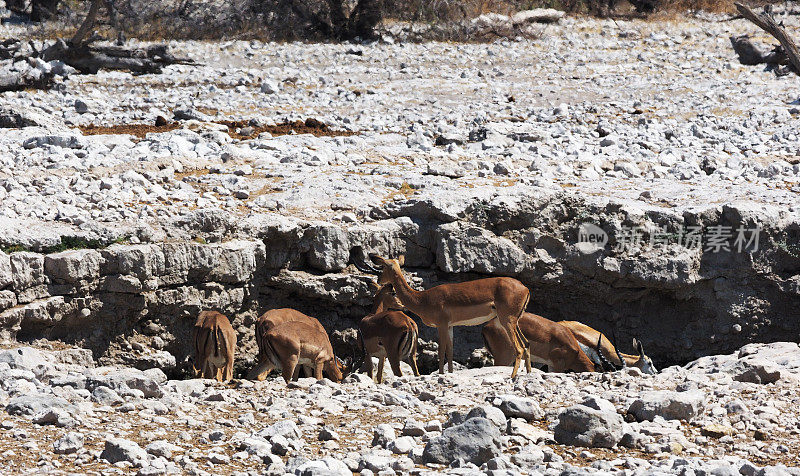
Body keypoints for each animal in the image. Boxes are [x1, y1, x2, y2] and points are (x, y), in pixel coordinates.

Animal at [354, 253, 532, 380]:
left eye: (384, 265)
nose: (379, 279)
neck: (422, 299)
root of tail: (525, 288)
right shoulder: (451, 326)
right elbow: (450, 352)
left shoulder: (441, 325)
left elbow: (441, 351)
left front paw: (441, 374)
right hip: (514, 321)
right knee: (526, 344)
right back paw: (528, 374)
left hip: (507, 320)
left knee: (519, 347)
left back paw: (512, 377)